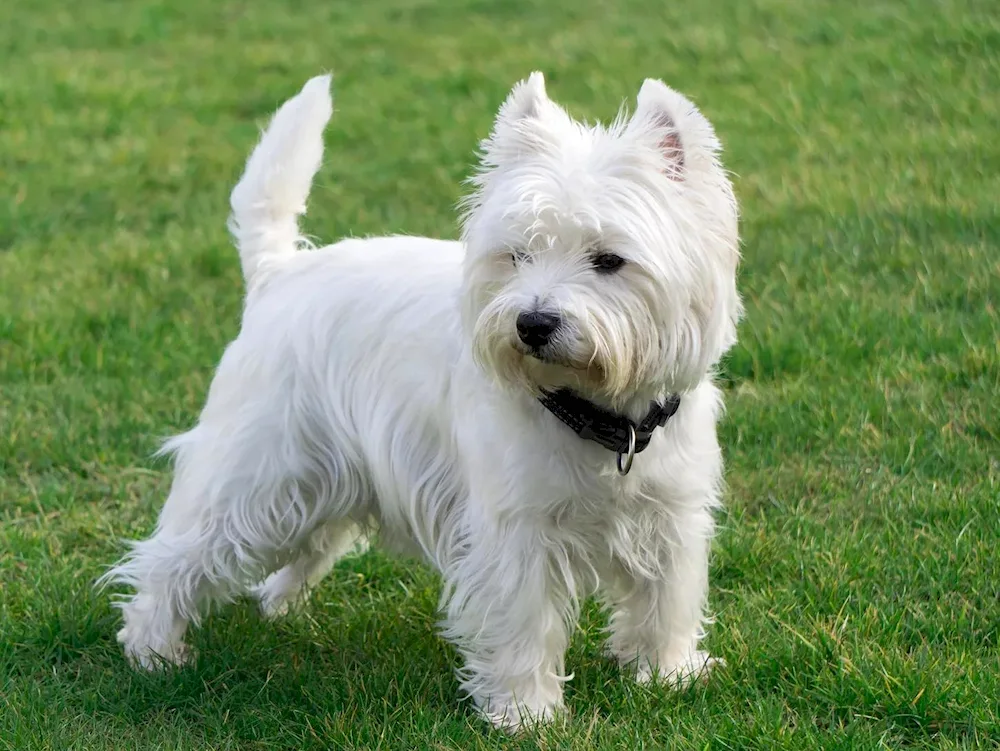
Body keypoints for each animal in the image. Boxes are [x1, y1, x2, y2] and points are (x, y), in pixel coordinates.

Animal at [101, 70, 744, 728]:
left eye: (610, 260)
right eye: (517, 255)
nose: (533, 324)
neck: (601, 416)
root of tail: (278, 274)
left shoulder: (671, 514)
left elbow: (666, 599)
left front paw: (668, 677)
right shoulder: (515, 531)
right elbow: (525, 625)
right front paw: (526, 714)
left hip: (327, 477)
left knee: (304, 546)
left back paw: (276, 608)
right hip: (258, 474)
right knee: (175, 555)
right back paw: (153, 650)